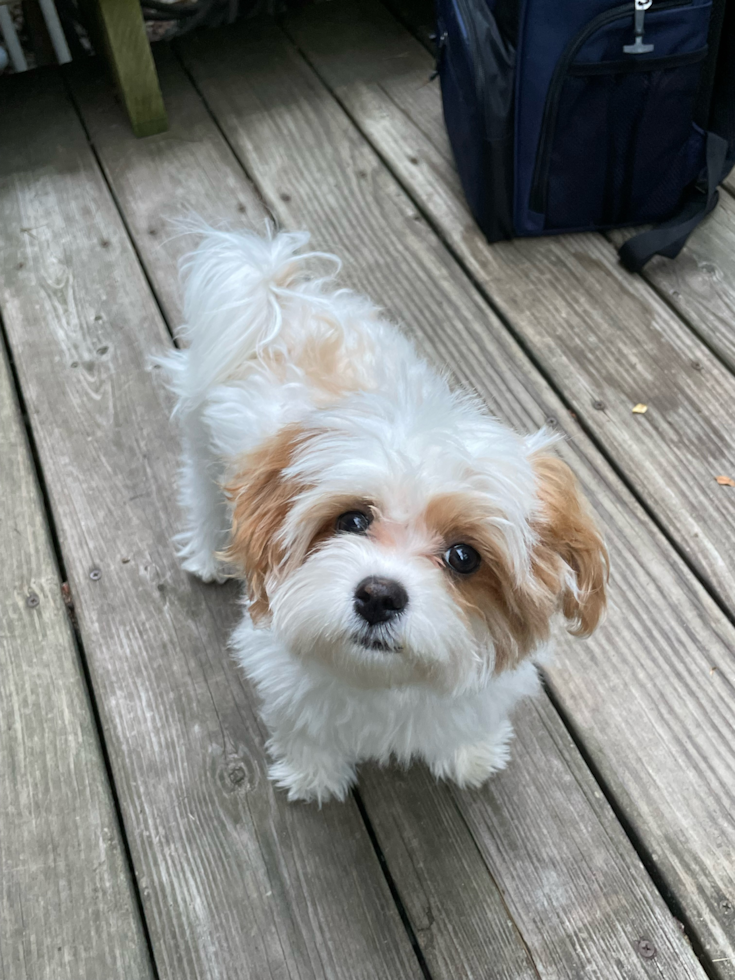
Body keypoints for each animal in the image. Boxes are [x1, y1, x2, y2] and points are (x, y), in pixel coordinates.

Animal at [162, 230, 608, 804]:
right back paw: (209, 554)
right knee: (202, 494)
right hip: (203, 441)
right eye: (352, 521)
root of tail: (280, 293)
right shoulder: (281, 671)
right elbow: (305, 729)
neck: (384, 679)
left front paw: (471, 755)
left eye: (464, 556)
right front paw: (313, 776)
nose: (378, 595)